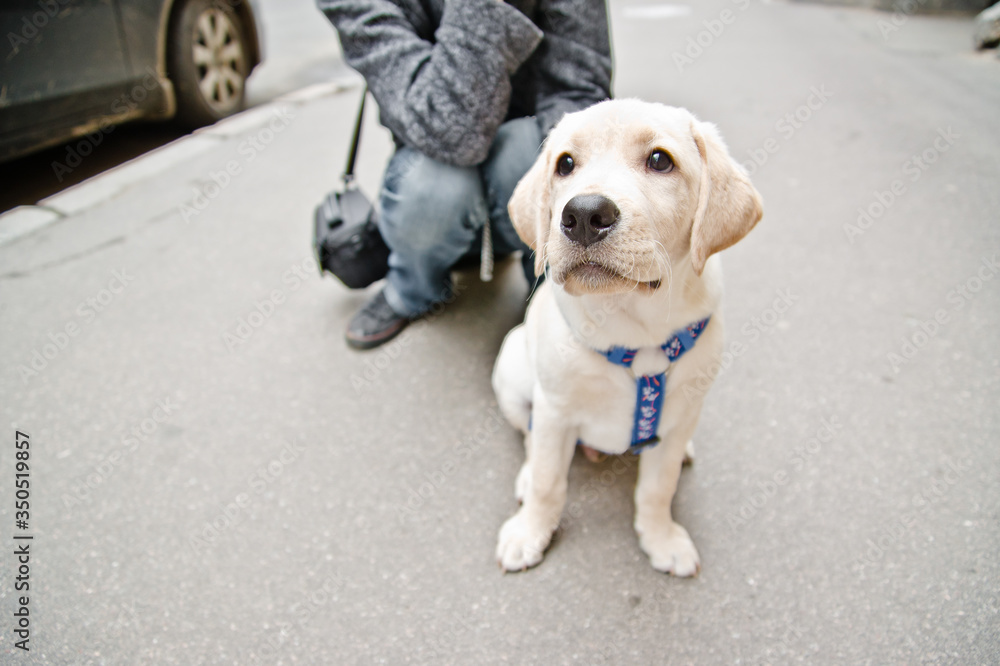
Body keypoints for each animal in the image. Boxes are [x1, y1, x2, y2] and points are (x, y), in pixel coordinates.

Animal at [494, 97, 764, 572]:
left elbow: (658, 487)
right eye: (565, 164)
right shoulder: (555, 409)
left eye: (660, 160)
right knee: (528, 434)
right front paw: (531, 532)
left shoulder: (681, 413)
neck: (631, 328)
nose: (584, 214)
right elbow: (548, 479)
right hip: (513, 371)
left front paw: (660, 538)